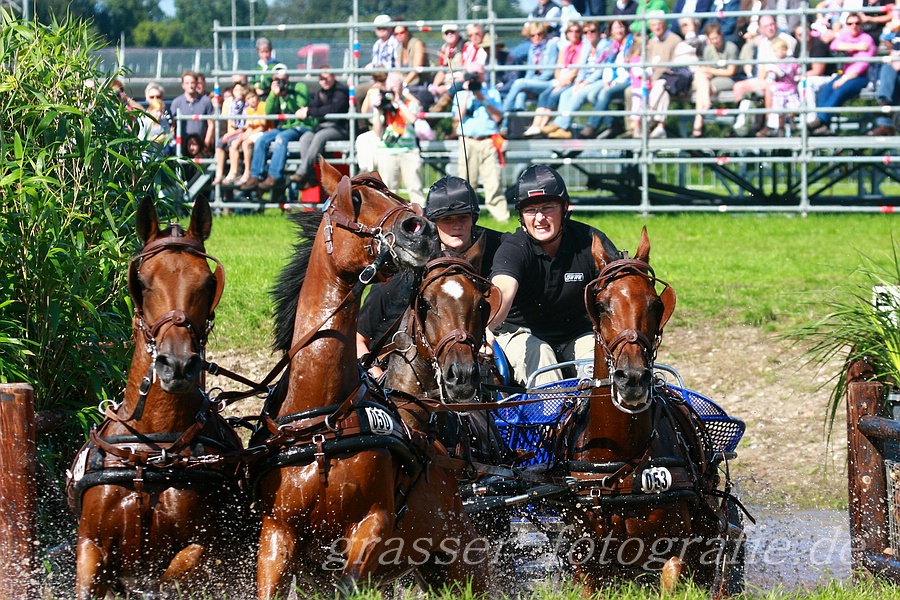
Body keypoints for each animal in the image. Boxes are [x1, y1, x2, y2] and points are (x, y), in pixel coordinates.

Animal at [68, 197, 248, 600]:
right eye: (142, 281)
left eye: (209, 281)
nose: (177, 363)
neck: (153, 450)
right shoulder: (91, 549)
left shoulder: (203, 552)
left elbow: (171, 579)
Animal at [253, 162, 492, 596]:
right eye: (356, 198)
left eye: (484, 305)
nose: (420, 228)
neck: (323, 425)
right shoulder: (277, 533)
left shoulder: (373, 525)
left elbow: (349, 583)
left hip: (463, 558)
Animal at [560, 227, 740, 592]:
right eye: (601, 305)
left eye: (656, 304)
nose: (632, 379)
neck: (622, 463)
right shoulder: (585, 562)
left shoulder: (675, 549)